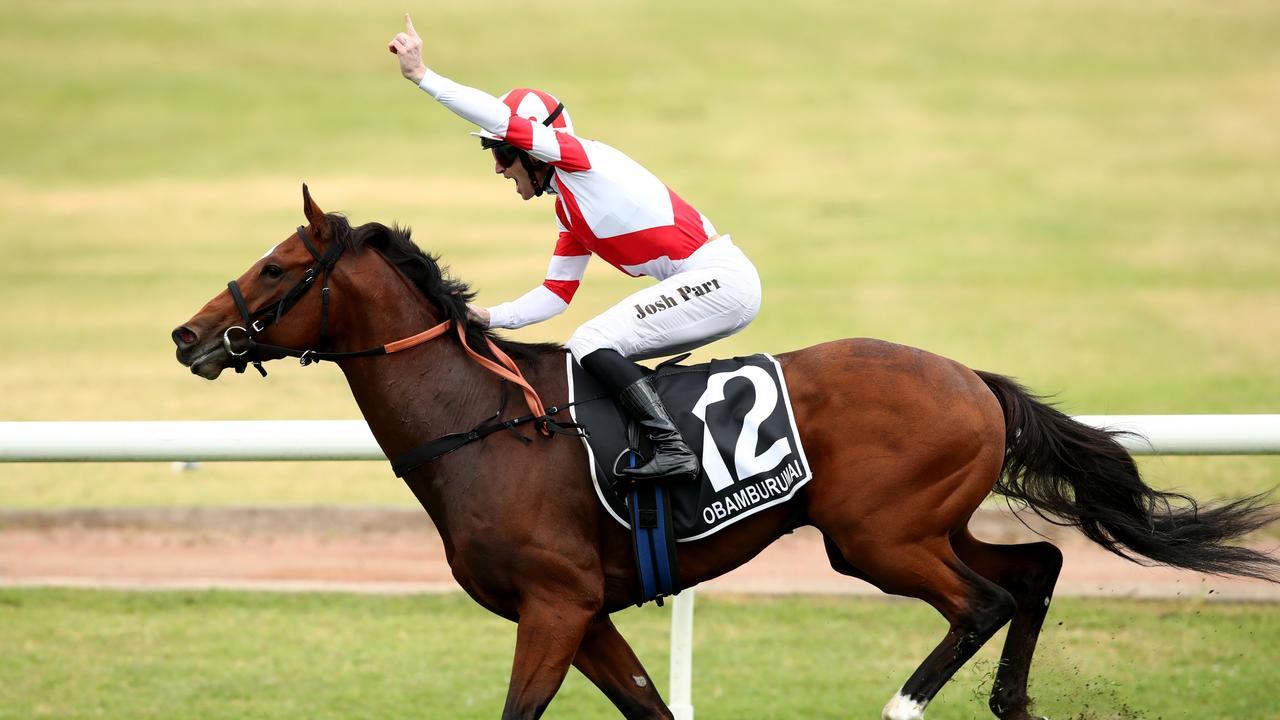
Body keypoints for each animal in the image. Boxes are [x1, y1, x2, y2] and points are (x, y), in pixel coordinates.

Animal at [172, 185, 1280, 717]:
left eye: (274, 266)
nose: (187, 335)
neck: (487, 420)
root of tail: (974, 380)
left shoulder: (553, 605)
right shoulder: (585, 613)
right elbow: (649, 710)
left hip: (874, 538)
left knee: (983, 602)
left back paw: (899, 708)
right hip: (914, 526)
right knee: (1037, 567)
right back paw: (1011, 704)